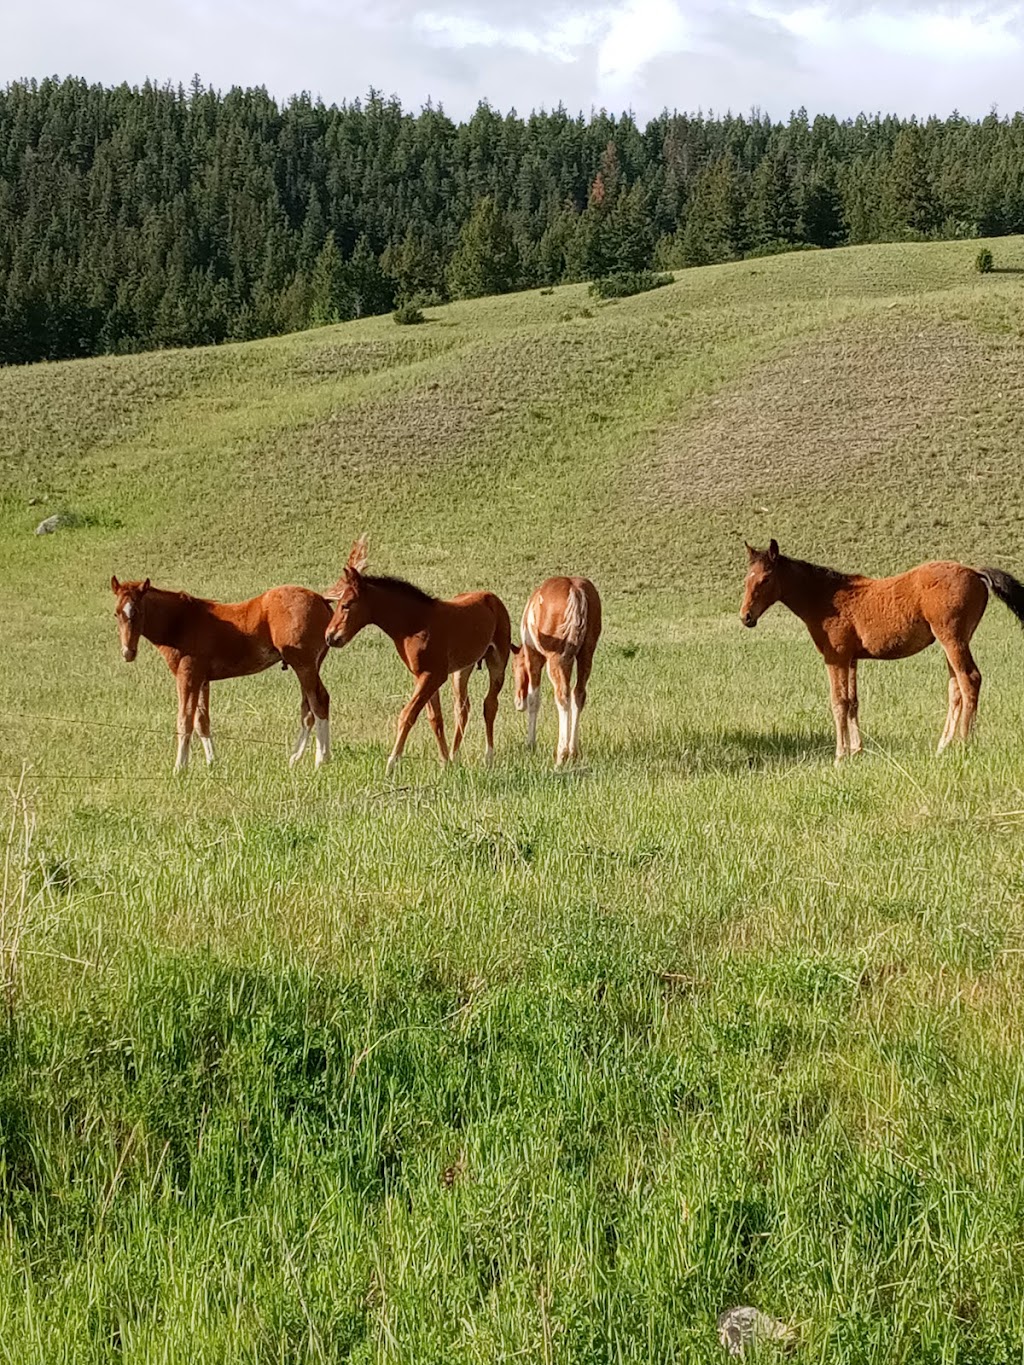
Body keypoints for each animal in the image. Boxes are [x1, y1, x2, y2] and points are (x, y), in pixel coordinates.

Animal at [111, 573, 337, 769]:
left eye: (139, 612)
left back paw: (321, 760)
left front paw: (180, 768)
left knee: (318, 702)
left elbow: (185, 720)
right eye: (116, 613)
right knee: (309, 708)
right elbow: (202, 721)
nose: (127, 653)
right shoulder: (202, 680)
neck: (182, 622)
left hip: (304, 665)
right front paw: (212, 763)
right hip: (309, 666)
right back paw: (295, 758)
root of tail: (321, 600)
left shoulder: (187, 677)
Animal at [326, 535, 510, 775]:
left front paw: (391, 764)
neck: (416, 624)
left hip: (497, 661)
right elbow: (435, 718)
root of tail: (492, 598)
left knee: (489, 705)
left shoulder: (433, 676)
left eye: (346, 605)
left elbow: (407, 715)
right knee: (462, 708)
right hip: (461, 670)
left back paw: (488, 757)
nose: (330, 637)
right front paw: (445, 763)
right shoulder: (422, 675)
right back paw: (455, 755)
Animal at [510, 576, 600, 769]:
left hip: (556, 661)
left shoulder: (533, 658)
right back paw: (573, 752)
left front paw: (530, 744)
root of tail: (575, 590)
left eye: (514, 667)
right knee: (578, 695)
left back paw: (561, 755)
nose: (518, 703)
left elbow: (534, 700)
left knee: (562, 697)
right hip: (586, 655)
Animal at [742, 537, 1024, 764]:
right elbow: (853, 702)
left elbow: (838, 702)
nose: (746, 617)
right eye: (746, 579)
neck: (827, 598)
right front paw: (856, 751)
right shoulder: (852, 659)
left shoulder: (836, 657)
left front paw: (840, 756)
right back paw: (942, 747)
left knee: (970, 680)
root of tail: (974, 572)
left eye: (765, 579)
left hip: (952, 639)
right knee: (955, 688)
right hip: (953, 642)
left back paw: (964, 745)